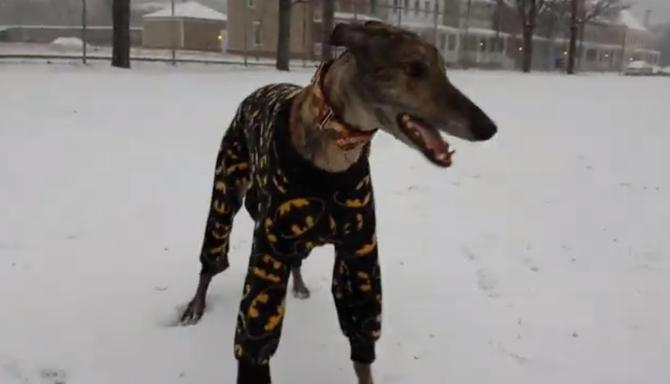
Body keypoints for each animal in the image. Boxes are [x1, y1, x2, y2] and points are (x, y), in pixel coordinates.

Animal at [178, 21, 498, 384]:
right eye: (415, 69)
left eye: (444, 69)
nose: (488, 128)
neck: (334, 153)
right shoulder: (269, 252)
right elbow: (255, 338)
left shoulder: (359, 252)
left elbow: (362, 337)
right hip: (226, 192)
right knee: (212, 257)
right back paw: (195, 306)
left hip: (298, 237)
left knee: (296, 261)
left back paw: (299, 286)